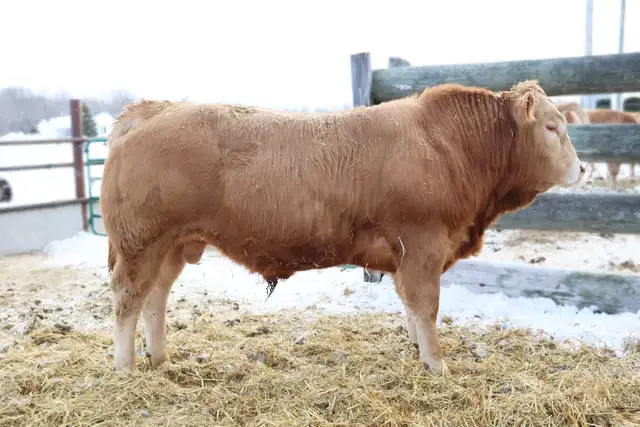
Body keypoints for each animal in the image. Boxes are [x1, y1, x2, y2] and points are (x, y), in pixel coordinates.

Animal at [101, 80, 585, 376]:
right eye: (551, 126)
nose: (582, 168)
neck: (447, 147)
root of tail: (154, 109)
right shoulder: (423, 246)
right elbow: (426, 308)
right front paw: (436, 365)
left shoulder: (406, 256)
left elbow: (411, 310)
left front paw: (417, 352)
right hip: (141, 242)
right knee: (128, 299)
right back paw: (125, 367)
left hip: (173, 243)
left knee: (155, 297)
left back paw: (159, 357)